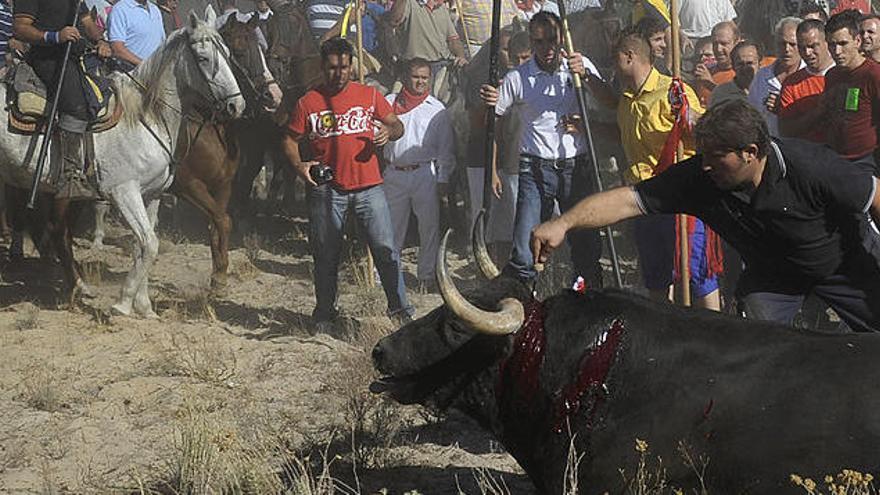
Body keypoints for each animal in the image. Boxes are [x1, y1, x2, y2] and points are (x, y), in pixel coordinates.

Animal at [0, 11, 244, 318]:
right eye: (203, 58)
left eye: (227, 54)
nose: (237, 106)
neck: (144, 117)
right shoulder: (124, 191)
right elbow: (149, 243)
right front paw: (124, 302)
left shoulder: (151, 194)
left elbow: (145, 245)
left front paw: (144, 306)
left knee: (58, 231)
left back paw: (79, 286)